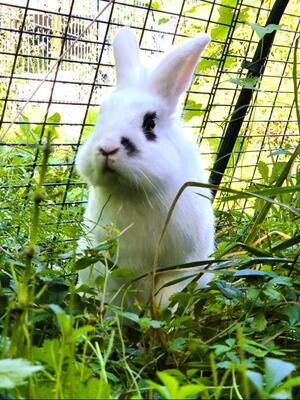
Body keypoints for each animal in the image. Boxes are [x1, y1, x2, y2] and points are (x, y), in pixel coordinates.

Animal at [76, 27, 214, 310]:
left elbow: (169, 295)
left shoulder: (183, 265)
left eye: (150, 123)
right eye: (101, 115)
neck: (131, 192)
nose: (107, 148)